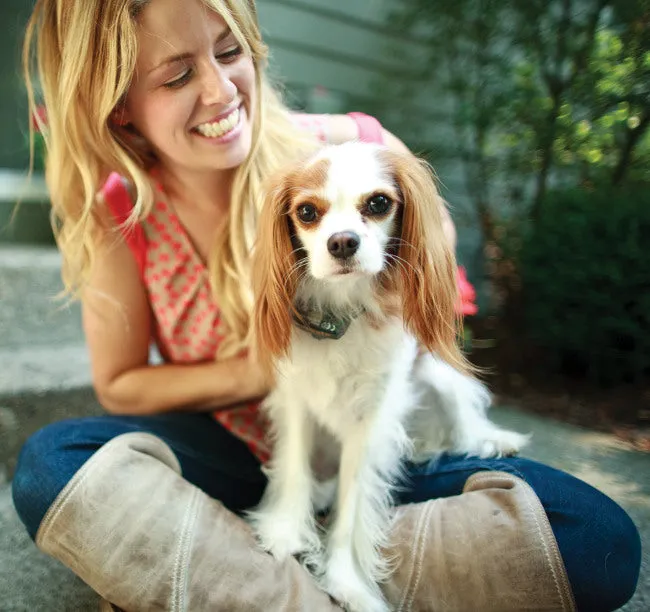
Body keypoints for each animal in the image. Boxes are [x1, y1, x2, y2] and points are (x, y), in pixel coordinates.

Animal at [246, 142, 524, 612]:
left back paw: (493, 439)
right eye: (306, 212)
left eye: (378, 203)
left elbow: (354, 501)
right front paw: (286, 533)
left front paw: (347, 581)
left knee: (464, 419)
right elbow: (296, 468)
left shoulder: (372, 421)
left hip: (438, 377)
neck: (343, 312)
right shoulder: (296, 402)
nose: (342, 241)